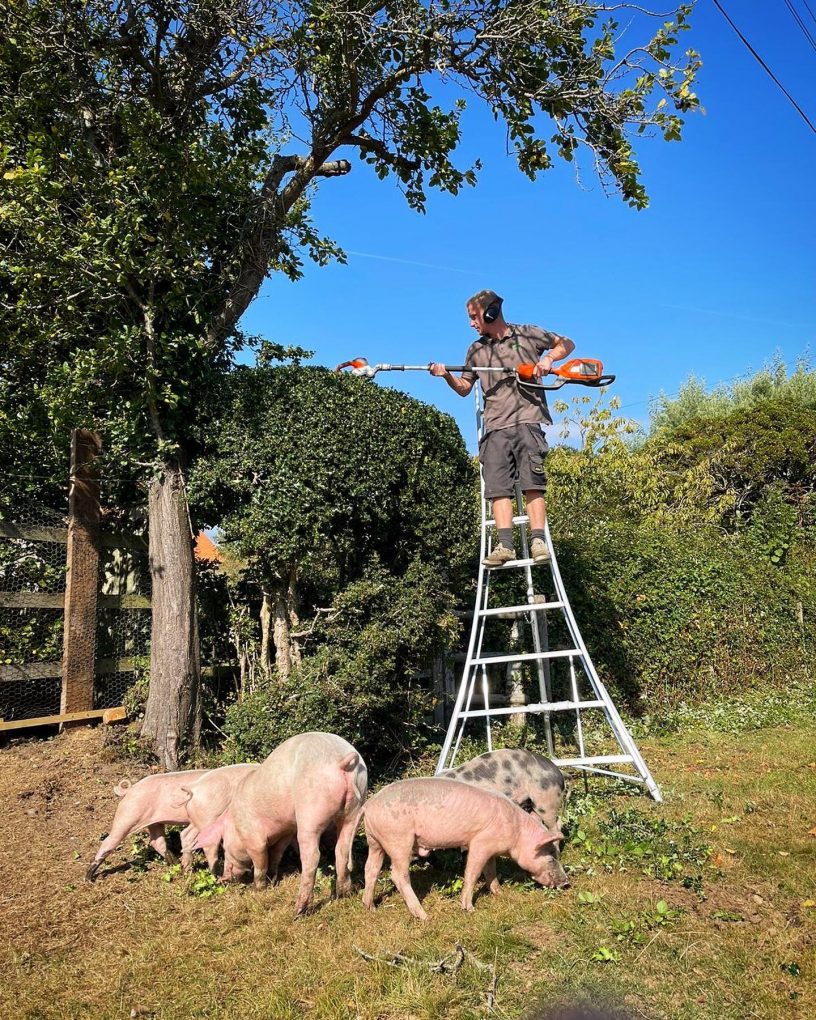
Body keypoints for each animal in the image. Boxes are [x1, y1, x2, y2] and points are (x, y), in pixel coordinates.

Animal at [194, 734, 367, 918]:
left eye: (225, 846)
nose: (223, 878)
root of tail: (343, 760)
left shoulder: (254, 838)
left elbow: (261, 861)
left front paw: (258, 888)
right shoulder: (285, 832)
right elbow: (276, 855)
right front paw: (272, 880)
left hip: (310, 811)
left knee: (312, 856)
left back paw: (298, 911)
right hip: (353, 810)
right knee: (342, 850)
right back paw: (343, 894)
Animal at [363, 775, 567, 922]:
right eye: (551, 856)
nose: (566, 883)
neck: (517, 832)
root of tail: (368, 805)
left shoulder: (491, 850)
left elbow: (491, 871)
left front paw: (500, 893)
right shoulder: (480, 843)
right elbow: (473, 872)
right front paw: (469, 909)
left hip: (375, 842)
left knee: (371, 869)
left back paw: (370, 908)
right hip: (398, 839)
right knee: (397, 875)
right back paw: (424, 916)